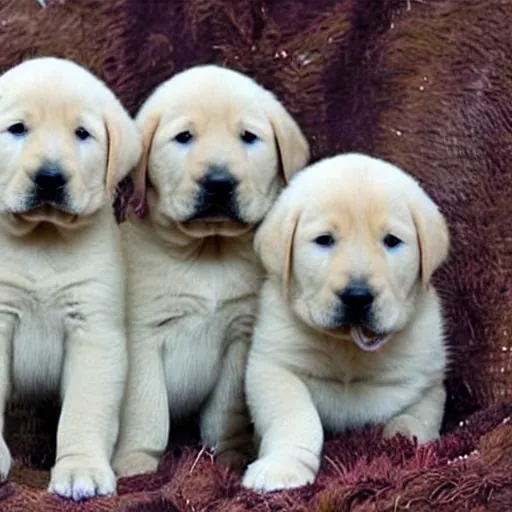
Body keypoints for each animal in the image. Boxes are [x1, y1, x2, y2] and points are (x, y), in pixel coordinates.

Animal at [0, 59, 140, 500]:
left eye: (82, 133)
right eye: (17, 129)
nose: (49, 177)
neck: (44, 236)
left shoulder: (93, 329)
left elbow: (85, 407)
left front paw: (81, 469)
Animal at [114, 66, 310, 478]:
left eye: (248, 137)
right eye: (184, 137)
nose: (219, 182)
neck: (208, 252)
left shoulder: (239, 335)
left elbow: (224, 411)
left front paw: (229, 456)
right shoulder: (142, 337)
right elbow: (147, 410)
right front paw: (137, 464)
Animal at [243, 153, 448, 492]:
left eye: (391, 241)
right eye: (324, 240)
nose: (357, 296)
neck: (347, 345)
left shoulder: (427, 377)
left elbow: (418, 416)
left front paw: (406, 439)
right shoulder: (273, 363)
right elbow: (295, 415)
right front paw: (283, 466)